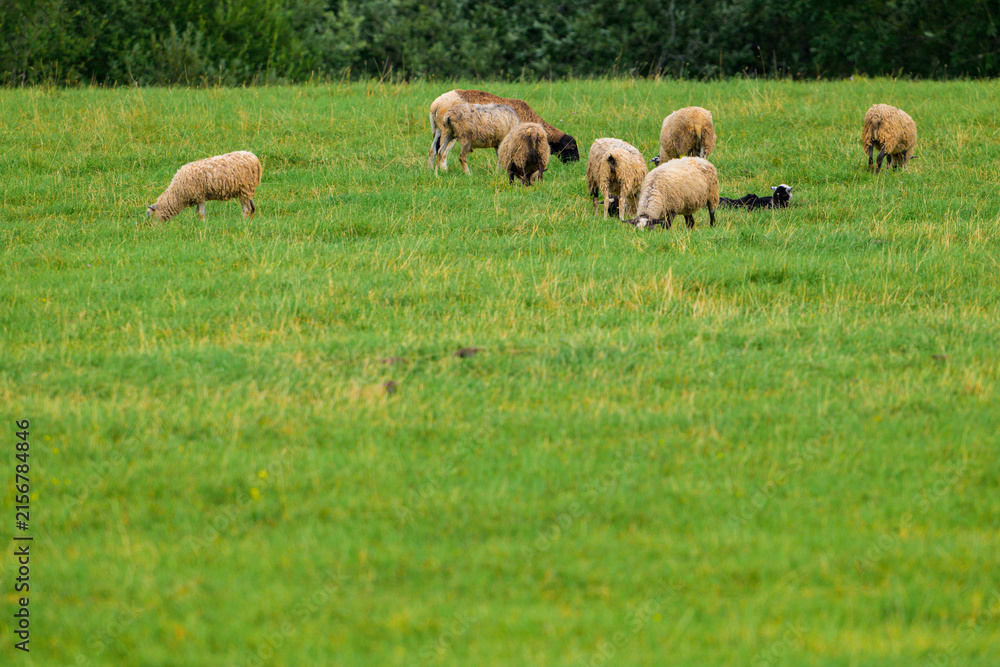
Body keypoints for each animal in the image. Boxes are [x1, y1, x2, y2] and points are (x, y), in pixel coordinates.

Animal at [428, 89, 579, 170]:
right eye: (572, 148)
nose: (576, 163)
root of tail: (435, 105)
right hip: (450, 133)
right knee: (443, 153)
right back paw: (445, 171)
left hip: (438, 130)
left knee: (432, 151)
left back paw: (430, 170)